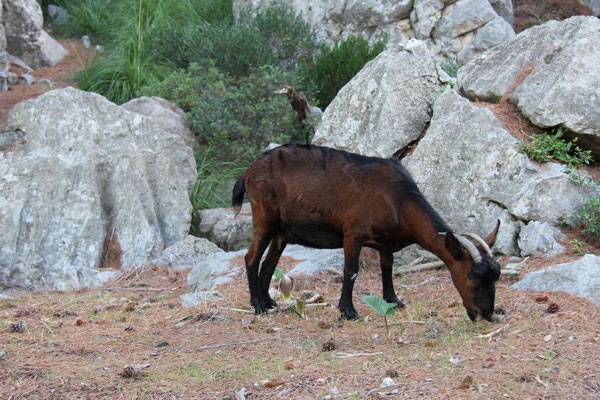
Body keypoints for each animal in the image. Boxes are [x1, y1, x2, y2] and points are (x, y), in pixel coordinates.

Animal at [234, 145, 502, 322]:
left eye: (495, 278)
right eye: (473, 279)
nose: (486, 314)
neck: (398, 200)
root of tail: (248, 172)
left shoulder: (385, 243)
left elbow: (387, 267)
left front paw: (394, 301)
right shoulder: (353, 234)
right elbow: (351, 270)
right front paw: (348, 310)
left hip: (280, 233)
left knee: (268, 264)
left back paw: (270, 303)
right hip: (263, 217)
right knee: (251, 258)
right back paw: (258, 307)